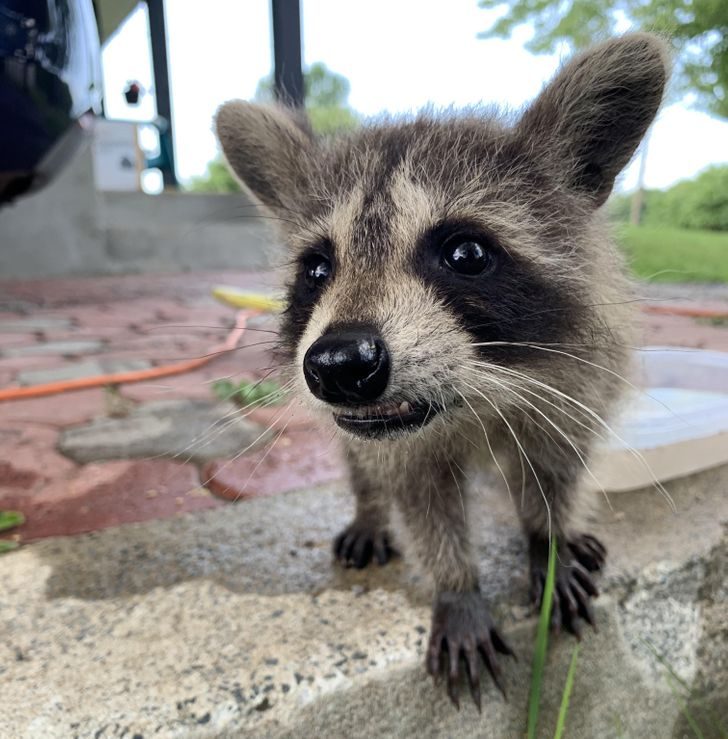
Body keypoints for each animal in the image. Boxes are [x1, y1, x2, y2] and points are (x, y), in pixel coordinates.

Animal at [213, 31, 668, 708]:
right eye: (317, 269)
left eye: (466, 253)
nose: (340, 362)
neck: (475, 394)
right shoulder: (391, 438)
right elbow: (420, 499)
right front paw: (457, 584)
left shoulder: (576, 381)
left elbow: (555, 468)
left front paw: (549, 539)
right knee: (362, 461)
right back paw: (369, 510)